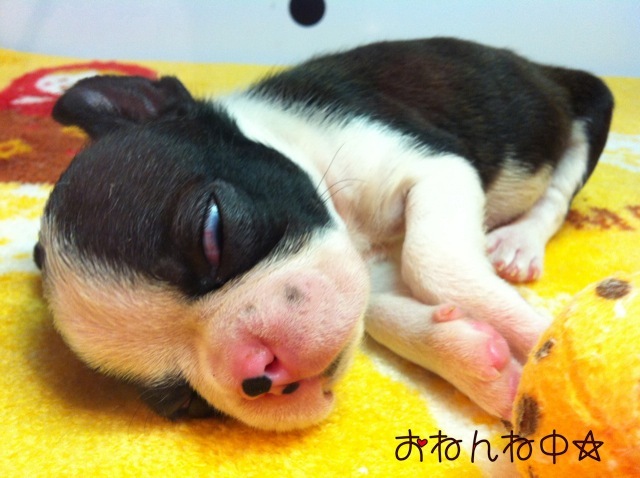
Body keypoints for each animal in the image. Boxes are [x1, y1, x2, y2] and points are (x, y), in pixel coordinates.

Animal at [34, 38, 613, 431]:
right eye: (185, 402)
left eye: (213, 231)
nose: (257, 370)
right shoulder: (369, 271)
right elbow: (380, 313)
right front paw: (479, 363)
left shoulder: (435, 167)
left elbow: (431, 264)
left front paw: (542, 339)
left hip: (590, 105)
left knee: (561, 188)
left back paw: (519, 242)